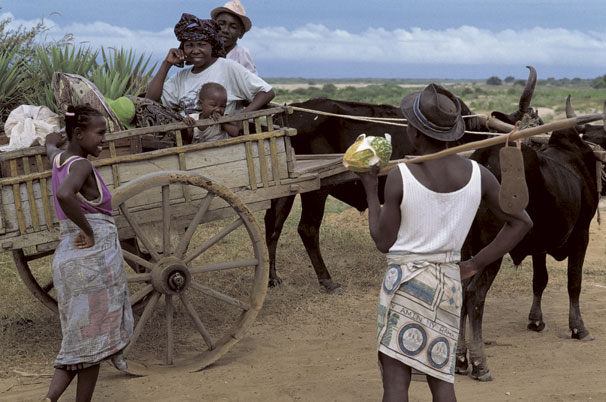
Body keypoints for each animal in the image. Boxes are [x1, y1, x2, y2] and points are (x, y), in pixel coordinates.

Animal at [456, 124, 599, 382]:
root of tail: (482, 159)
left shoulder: (538, 245)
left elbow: (540, 280)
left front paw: (536, 321)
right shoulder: (582, 233)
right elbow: (574, 282)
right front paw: (579, 328)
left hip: (467, 249)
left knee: (462, 290)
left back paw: (460, 359)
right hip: (492, 250)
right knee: (474, 295)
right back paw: (480, 363)